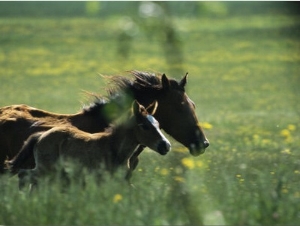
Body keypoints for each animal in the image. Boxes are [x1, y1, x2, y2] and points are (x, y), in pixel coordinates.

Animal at [6, 101, 171, 189]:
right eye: (144, 126)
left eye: (158, 124)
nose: (165, 146)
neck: (114, 147)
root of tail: (41, 135)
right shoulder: (101, 179)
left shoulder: (121, 180)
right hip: (47, 169)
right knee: (24, 175)